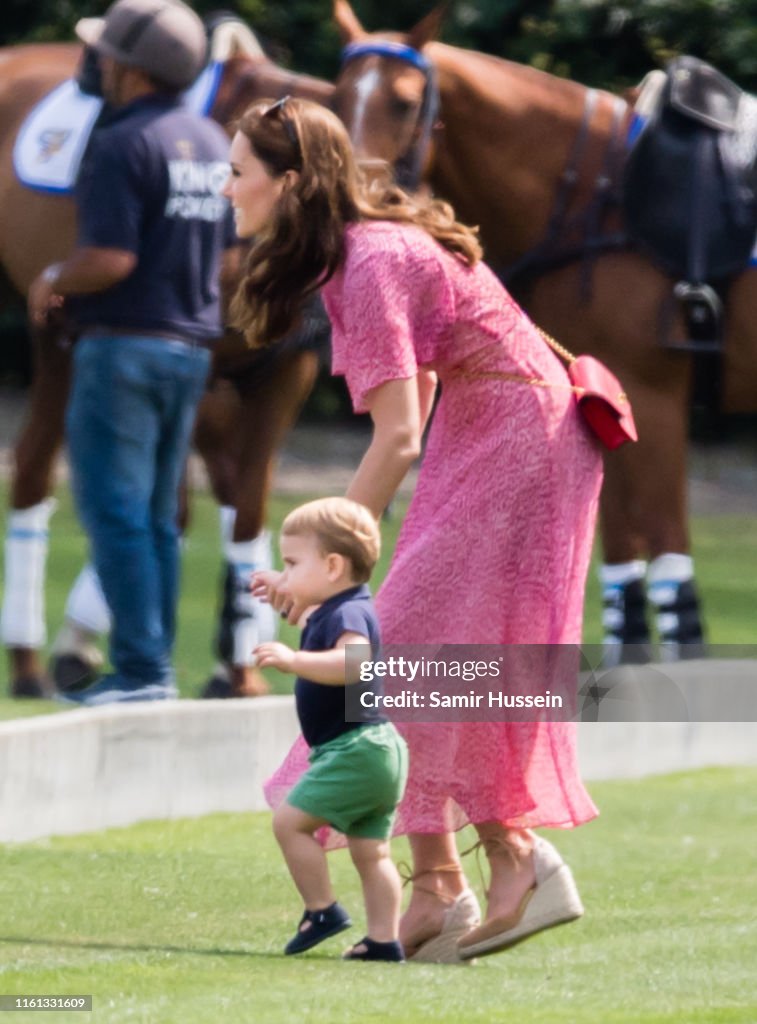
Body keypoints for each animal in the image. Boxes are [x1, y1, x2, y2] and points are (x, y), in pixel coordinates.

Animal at [0, 28, 333, 696]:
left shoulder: (282, 373)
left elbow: (243, 511)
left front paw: (242, 663)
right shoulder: (196, 375)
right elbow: (176, 509)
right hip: (59, 349)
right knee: (33, 468)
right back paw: (31, 661)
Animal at [333, 0, 757, 659]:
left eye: (403, 102)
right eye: (337, 91)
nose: (358, 188)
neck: (597, 194)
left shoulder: (656, 397)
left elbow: (673, 578)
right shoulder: (610, 401)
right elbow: (626, 583)